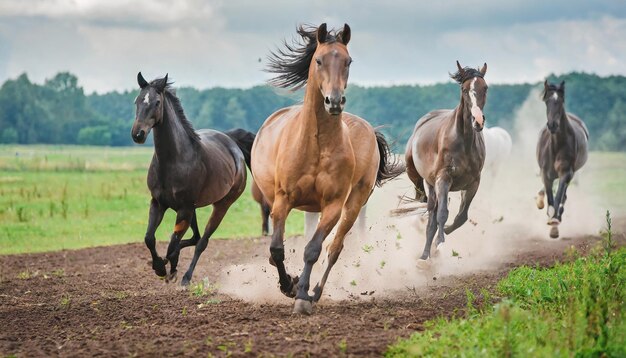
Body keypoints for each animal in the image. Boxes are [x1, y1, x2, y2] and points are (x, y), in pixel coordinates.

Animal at [130, 72, 255, 286]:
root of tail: (232, 142)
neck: (173, 160)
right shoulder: (158, 203)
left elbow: (172, 243)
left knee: (201, 242)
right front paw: (160, 267)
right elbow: (150, 238)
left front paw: (168, 267)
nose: (138, 134)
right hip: (193, 209)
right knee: (195, 237)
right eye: (137, 100)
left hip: (221, 206)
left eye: (157, 102)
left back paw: (186, 277)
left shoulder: (184, 209)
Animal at [250, 23, 400, 314]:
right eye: (319, 60)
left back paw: (316, 292)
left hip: (354, 204)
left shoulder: (333, 205)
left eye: (348, 61)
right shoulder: (283, 200)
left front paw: (301, 295)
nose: (335, 101)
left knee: (335, 248)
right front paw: (289, 285)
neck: (316, 145)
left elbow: (313, 249)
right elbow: (276, 249)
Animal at [404, 61, 488, 262]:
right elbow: (442, 214)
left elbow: (461, 217)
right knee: (429, 209)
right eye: (464, 89)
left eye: (485, 88)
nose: (478, 121)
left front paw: (443, 236)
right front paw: (439, 241)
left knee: (432, 216)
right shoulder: (443, 179)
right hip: (420, 179)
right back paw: (424, 255)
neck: (463, 141)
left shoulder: (473, 183)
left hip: (433, 185)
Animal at [532, 79, 588, 239]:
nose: (552, 125)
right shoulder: (546, 173)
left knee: (564, 195)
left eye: (561, 101)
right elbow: (550, 197)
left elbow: (558, 197)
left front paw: (554, 222)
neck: (557, 144)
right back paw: (540, 199)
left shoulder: (566, 172)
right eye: (547, 101)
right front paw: (550, 216)